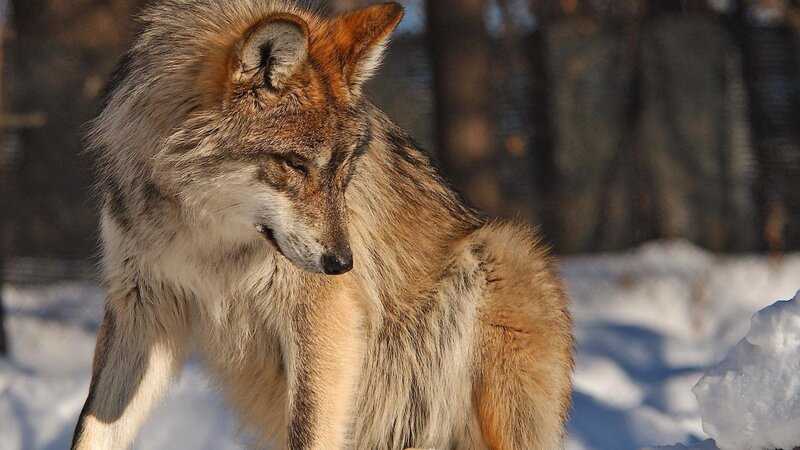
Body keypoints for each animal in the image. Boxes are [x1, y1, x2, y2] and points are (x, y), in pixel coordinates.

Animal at [70, 1, 574, 449]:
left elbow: (309, 431)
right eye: (294, 164)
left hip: (499, 256)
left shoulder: (323, 318)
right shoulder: (141, 309)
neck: (204, 235)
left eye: (344, 166)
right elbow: (91, 428)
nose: (342, 264)